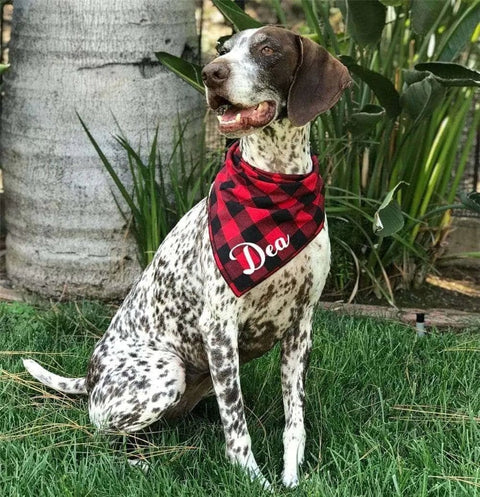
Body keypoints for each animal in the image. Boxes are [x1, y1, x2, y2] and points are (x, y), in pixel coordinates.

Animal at [22, 27, 350, 488]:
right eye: (222, 49)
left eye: (268, 49)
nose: (212, 73)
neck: (275, 184)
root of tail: (89, 379)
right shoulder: (219, 327)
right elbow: (237, 425)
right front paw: (254, 480)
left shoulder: (300, 325)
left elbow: (294, 418)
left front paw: (291, 477)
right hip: (165, 372)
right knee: (102, 434)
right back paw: (143, 463)